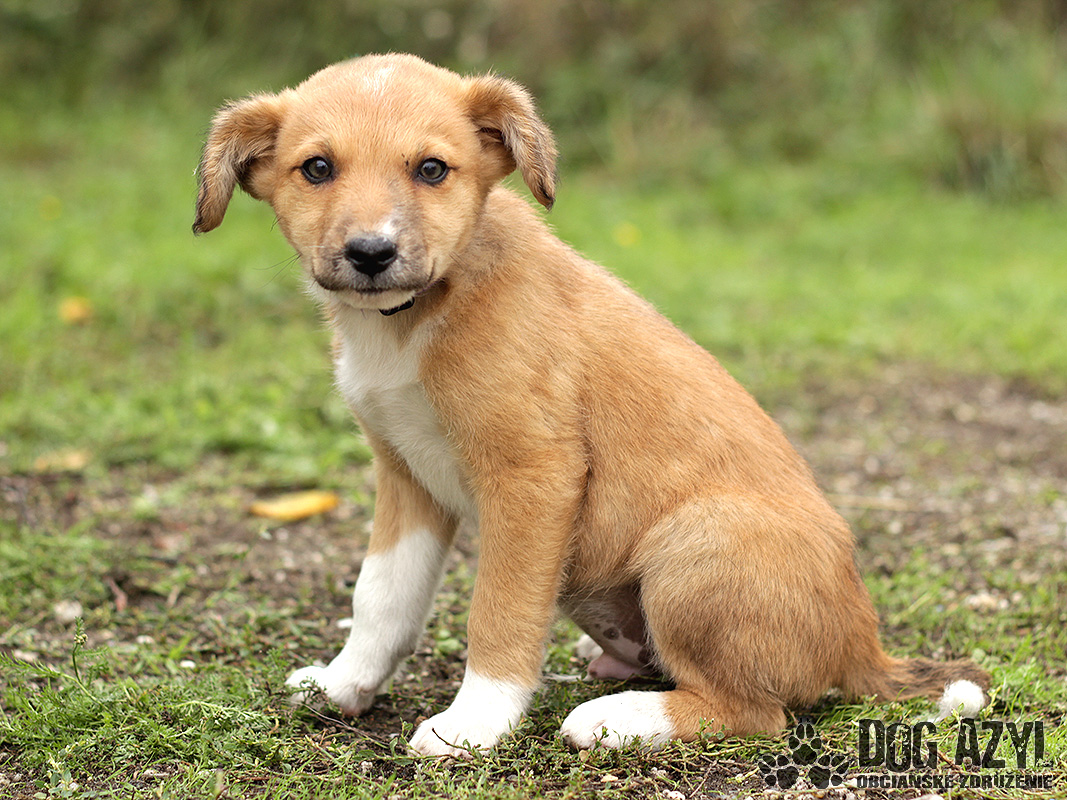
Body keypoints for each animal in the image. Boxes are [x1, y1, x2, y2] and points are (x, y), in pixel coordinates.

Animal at [194, 54, 989, 756]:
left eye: (431, 170)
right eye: (316, 169)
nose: (369, 253)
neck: (416, 316)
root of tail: (863, 645)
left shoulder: (532, 476)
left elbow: (500, 613)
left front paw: (473, 723)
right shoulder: (406, 476)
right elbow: (381, 597)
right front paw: (344, 685)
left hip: (697, 542)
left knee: (755, 712)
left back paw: (616, 721)